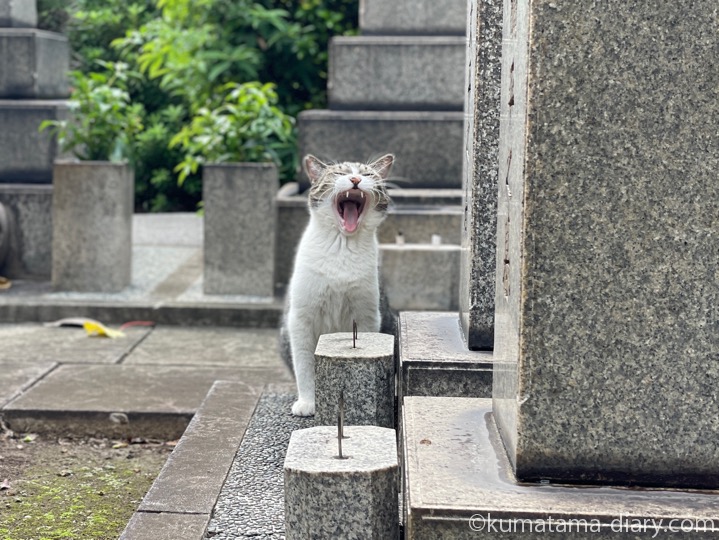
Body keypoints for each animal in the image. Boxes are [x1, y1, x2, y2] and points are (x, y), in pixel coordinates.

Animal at [284, 154, 394, 416]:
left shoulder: (367, 314)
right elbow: (304, 364)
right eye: (339, 173)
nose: (355, 179)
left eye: (367, 174)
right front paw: (308, 403)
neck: (342, 246)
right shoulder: (300, 317)